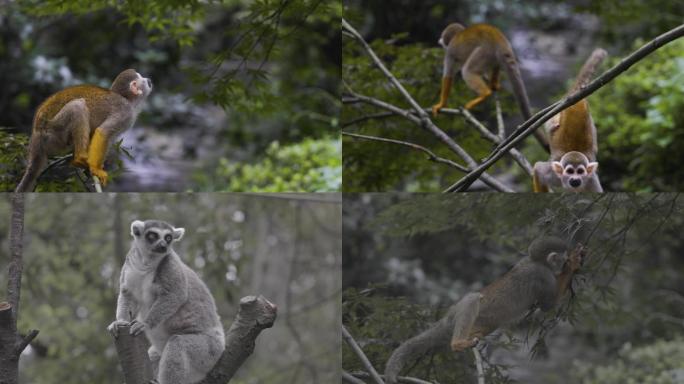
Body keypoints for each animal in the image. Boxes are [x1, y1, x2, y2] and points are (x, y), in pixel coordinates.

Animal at [16, 69, 154, 192]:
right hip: (54, 132)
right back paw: (79, 157)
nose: (149, 79)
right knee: (77, 106)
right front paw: (95, 168)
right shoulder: (125, 112)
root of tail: (36, 132)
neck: (128, 100)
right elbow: (103, 132)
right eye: (142, 79)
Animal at [384, 237, 584, 384]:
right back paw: (458, 343)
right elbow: (548, 305)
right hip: (458, 311)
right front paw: (573, 264)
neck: (537, 262)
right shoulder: (544, 276)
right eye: (563, 259)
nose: (565, 262)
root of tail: (448, 317)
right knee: (472, 299)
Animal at [432, 21, 552, 149]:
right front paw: (491, 82)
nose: (442, 43)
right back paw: (493, 85)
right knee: (495, 65)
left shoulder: (450, 53)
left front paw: (441, 104)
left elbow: (448, 76)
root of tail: (499, 40)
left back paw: (484, 94)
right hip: (491, 55)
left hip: (485, 51)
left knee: (467, 71)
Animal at [532, 49, 608, 194]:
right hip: (556, 115)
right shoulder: (553, 175)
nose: (575, 179)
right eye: (570, 171)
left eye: (580, 171)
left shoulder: (590, 180)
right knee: (552, 125)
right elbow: (538, 169)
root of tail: (576, 100)